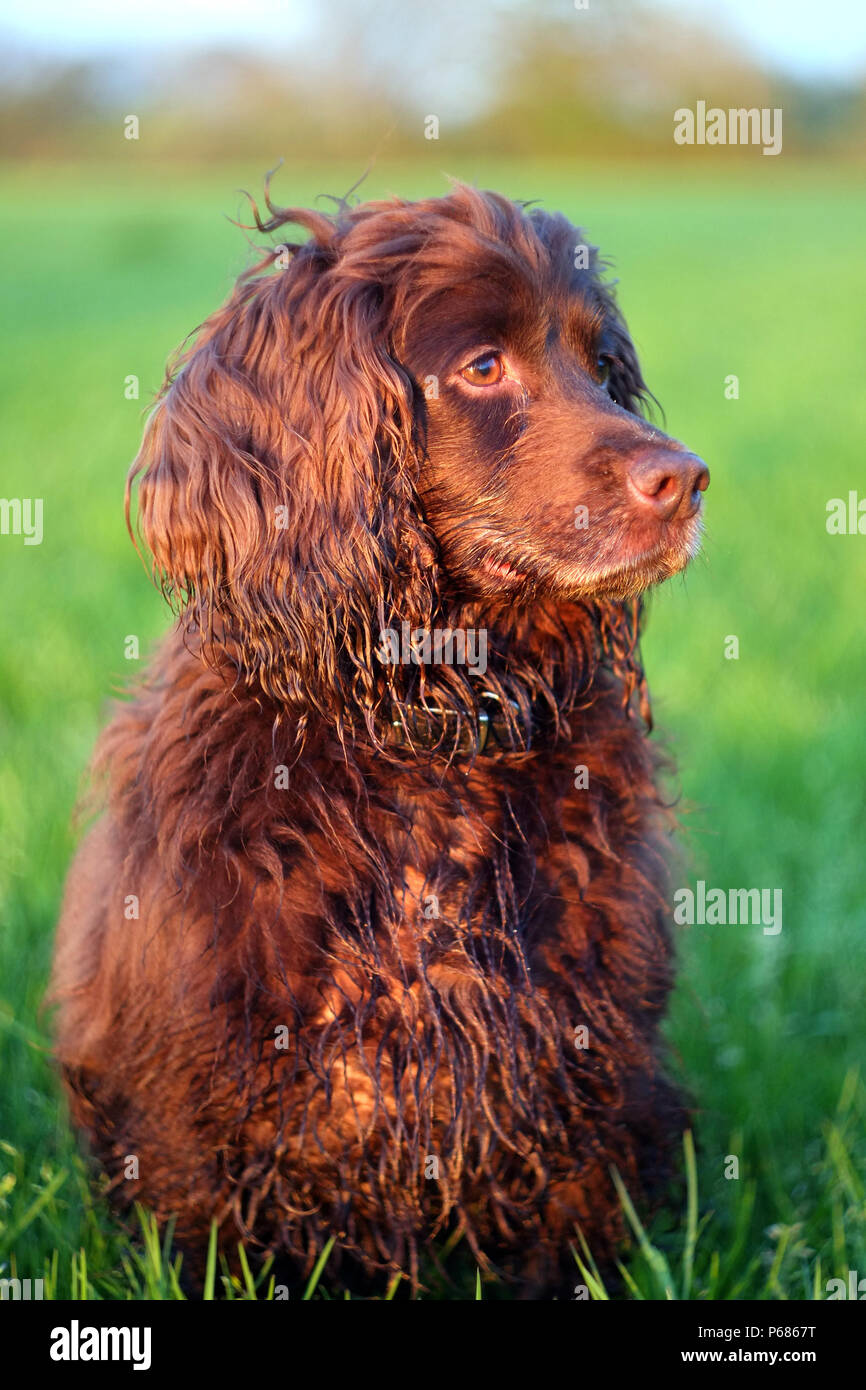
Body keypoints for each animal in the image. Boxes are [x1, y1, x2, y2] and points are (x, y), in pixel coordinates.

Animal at [50, 179, 708, 1295]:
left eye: (601, 366)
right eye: (482, 366)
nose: (689, 479)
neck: (425, 732)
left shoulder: (580, 1077)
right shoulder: (210, 1111)